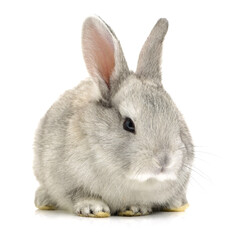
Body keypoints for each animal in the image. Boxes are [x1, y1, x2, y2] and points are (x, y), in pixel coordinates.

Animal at [33, 15, 194, 217]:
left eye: (176, 119)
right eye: (128, 124)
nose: (164, 160)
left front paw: (136, 208)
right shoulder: (65, 180)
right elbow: (79, 194)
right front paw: (93, 208)